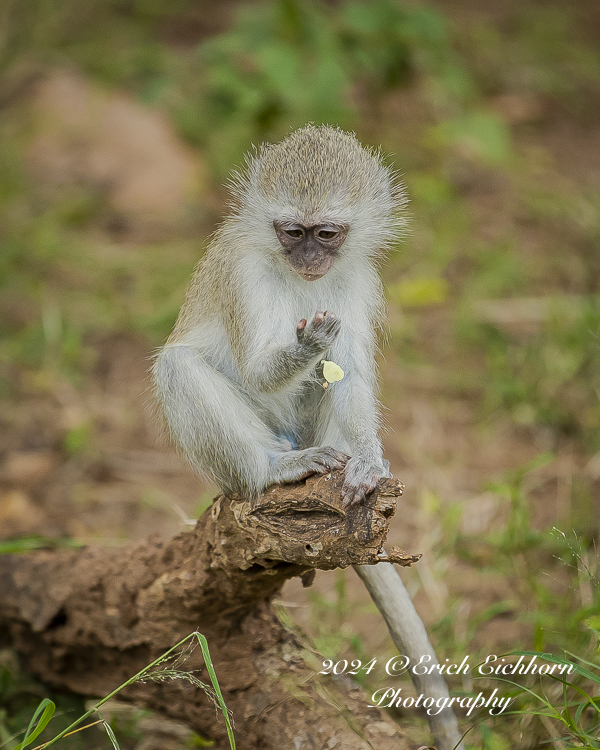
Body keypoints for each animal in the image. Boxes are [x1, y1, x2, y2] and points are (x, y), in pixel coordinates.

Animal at [155, 128, 464, 750]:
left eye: (326, 234)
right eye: (291, 232)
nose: (310, 259)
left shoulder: (358, 278)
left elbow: (352, 372)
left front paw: (369, 463)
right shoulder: (243, 274)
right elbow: (257, 370)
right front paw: (305, 345)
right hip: (249, 450)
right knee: (180, 367)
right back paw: (270, 469)